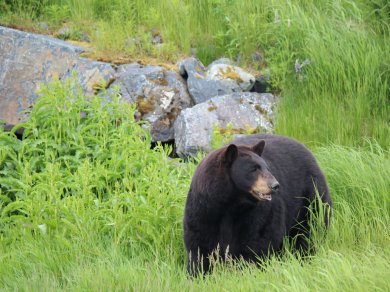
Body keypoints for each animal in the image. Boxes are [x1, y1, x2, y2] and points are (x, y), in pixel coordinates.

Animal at [183, 133, 332, 274]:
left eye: (267, 168)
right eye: (253, 169)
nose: (275, 185)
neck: (231, 204)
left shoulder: (257, 214)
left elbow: (257, 242)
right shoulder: (204, 209)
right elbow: (199, 246)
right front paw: (198, 273)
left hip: (310, 196)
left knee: (311, 228)